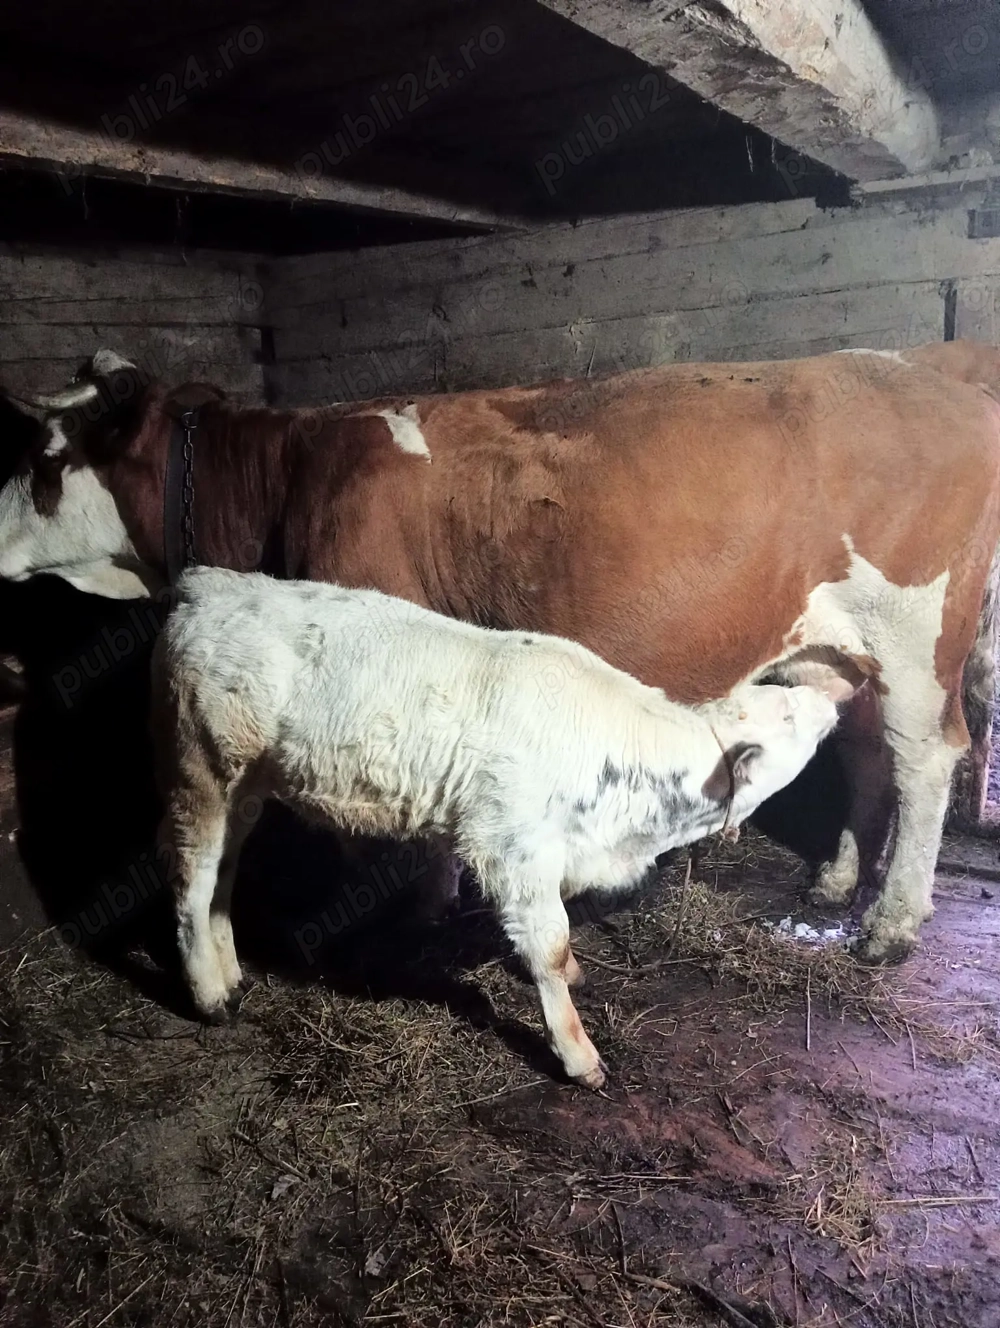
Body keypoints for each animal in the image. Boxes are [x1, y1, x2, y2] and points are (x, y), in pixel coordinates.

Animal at [2, 341, 1000, 963]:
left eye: (46, 461)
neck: (288, 479)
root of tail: (924, 369)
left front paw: (412, 907)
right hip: (843, 653)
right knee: (868, 753)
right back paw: (837, 881)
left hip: (917, 641)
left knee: (925, 760)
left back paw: (891, 924)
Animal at [153, 566, 848, 1087]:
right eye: (788, 714)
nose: (830, 699)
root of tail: (209, 583)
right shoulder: (511, 846)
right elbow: (550, 943)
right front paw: (578, 1055)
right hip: (201, 770)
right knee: (191, 879)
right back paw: (209, 994)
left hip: (244, 788)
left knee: (224, 877)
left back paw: (230, 972)